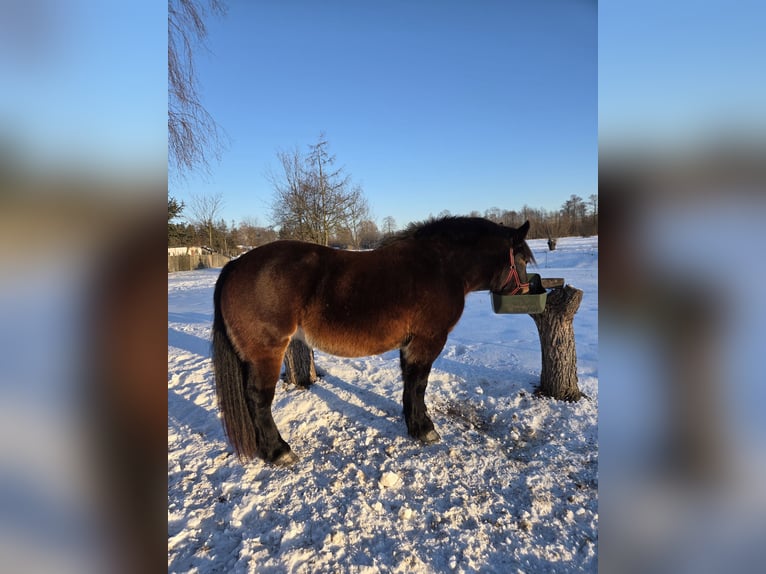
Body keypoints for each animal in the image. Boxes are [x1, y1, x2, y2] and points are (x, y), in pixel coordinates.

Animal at [212, 216, 535, 465]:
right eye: (521, 259)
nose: (527, 291)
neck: (442, 266)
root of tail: (235, 265)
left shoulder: (410, 344)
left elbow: (409, 384)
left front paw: (413, 424)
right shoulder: (428, 341)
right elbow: (419, 384)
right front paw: (425, 429)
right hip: (267, 353)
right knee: (259, 400)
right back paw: (278, 451)